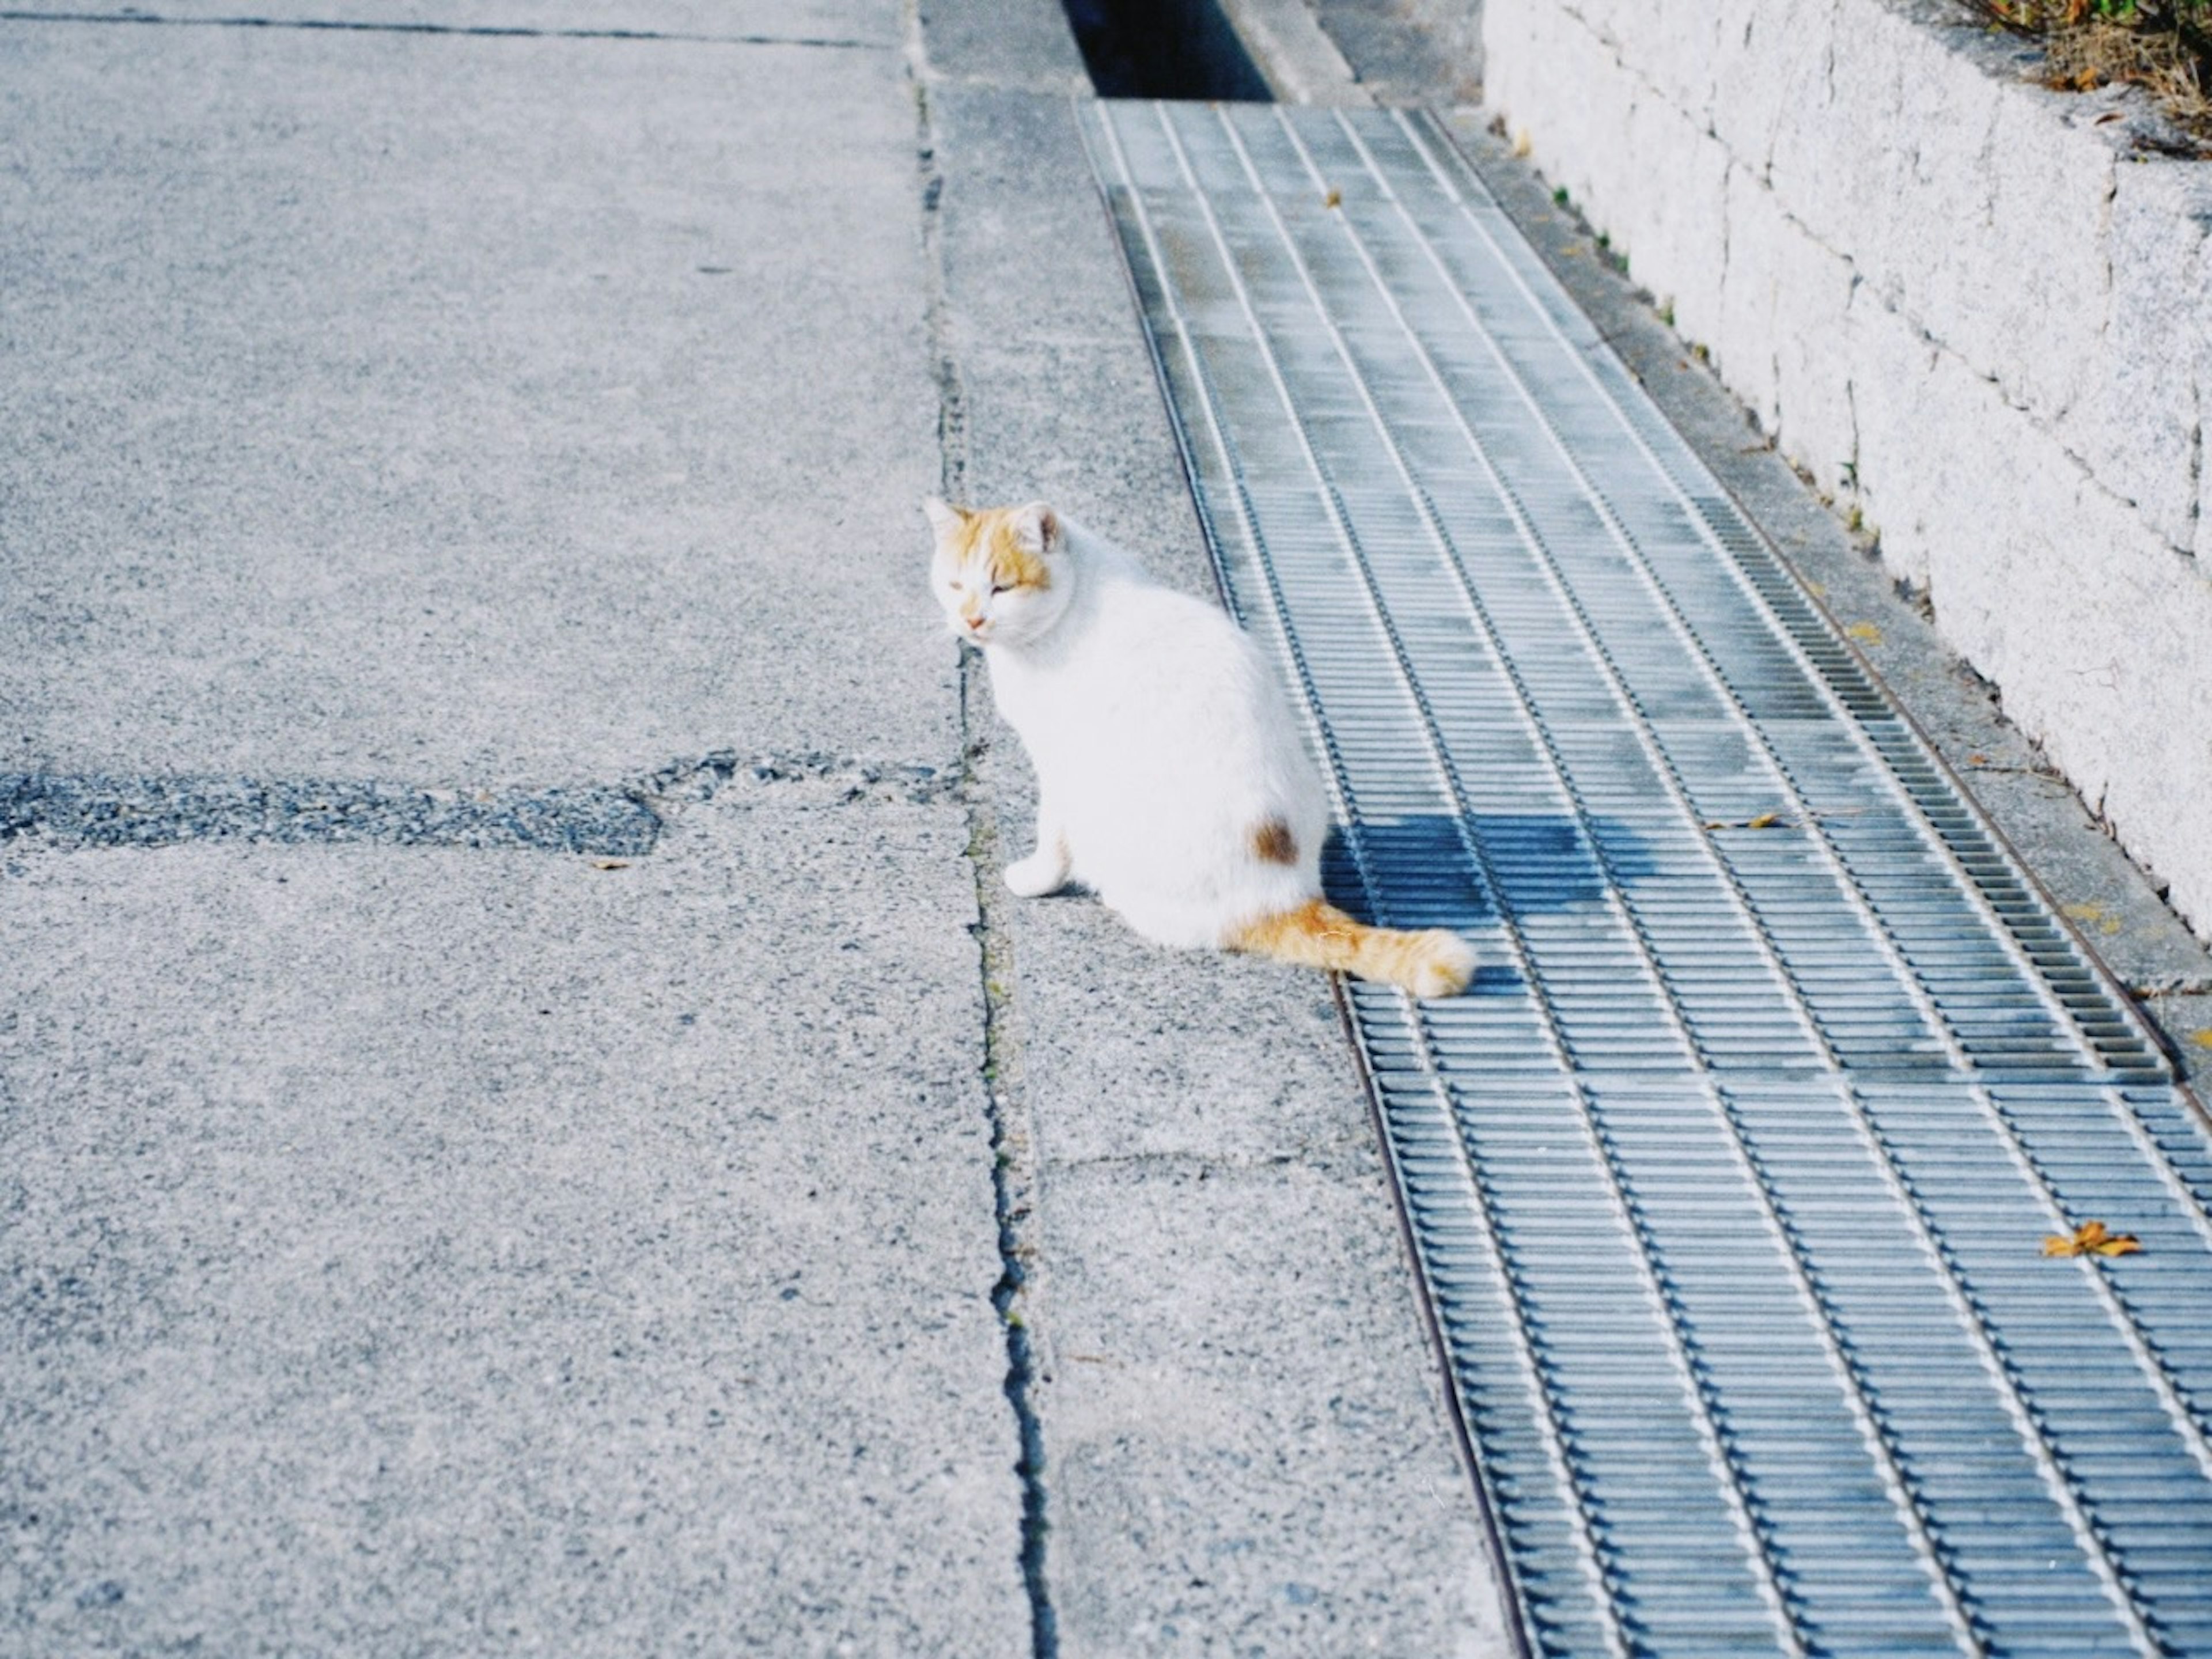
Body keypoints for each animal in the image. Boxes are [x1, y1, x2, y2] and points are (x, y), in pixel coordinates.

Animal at [925, 498, 1478, 999]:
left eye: (1002, 588)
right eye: (955, 586)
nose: (971, 621)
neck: (1077, 594)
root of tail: (1283, 894)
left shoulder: (1059, 765)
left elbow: (1051, 838)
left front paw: (1034, 880)